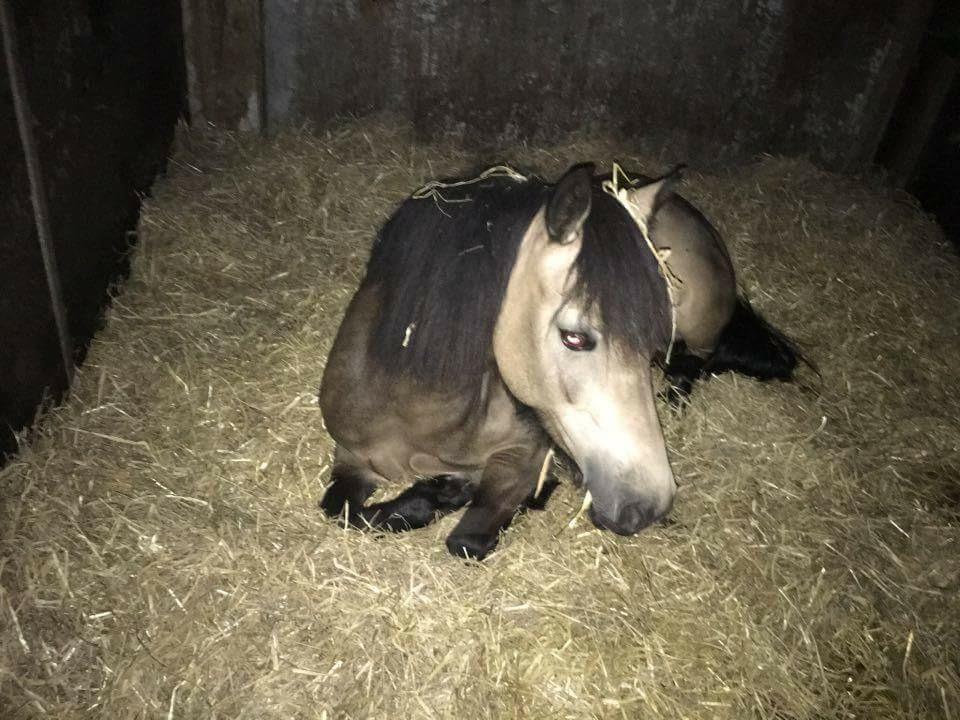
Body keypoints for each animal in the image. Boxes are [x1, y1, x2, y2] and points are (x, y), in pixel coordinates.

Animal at [317, 163, 801, 560]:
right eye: (574, 337)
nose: (649, 505)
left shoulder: (523, 455)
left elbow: (467, 541)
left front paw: (460, 493)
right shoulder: (350, 457)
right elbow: (339, 509)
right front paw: (439, 492)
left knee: (700, 360)